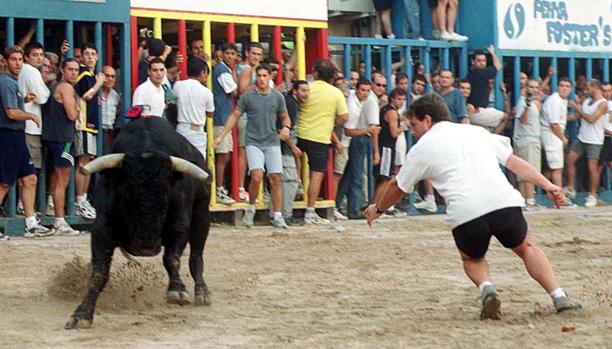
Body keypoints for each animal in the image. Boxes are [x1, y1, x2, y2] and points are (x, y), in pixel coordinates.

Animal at [65, 117, 212, 328]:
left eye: (166, 197)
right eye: (127, 196)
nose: (146, 249)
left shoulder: (179, 224)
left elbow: (172, 258)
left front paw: (177, 290)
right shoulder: (103, 228)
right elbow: (99, 273)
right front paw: (82, 314)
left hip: (202, 215)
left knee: (196, 256)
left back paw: (202, 292)